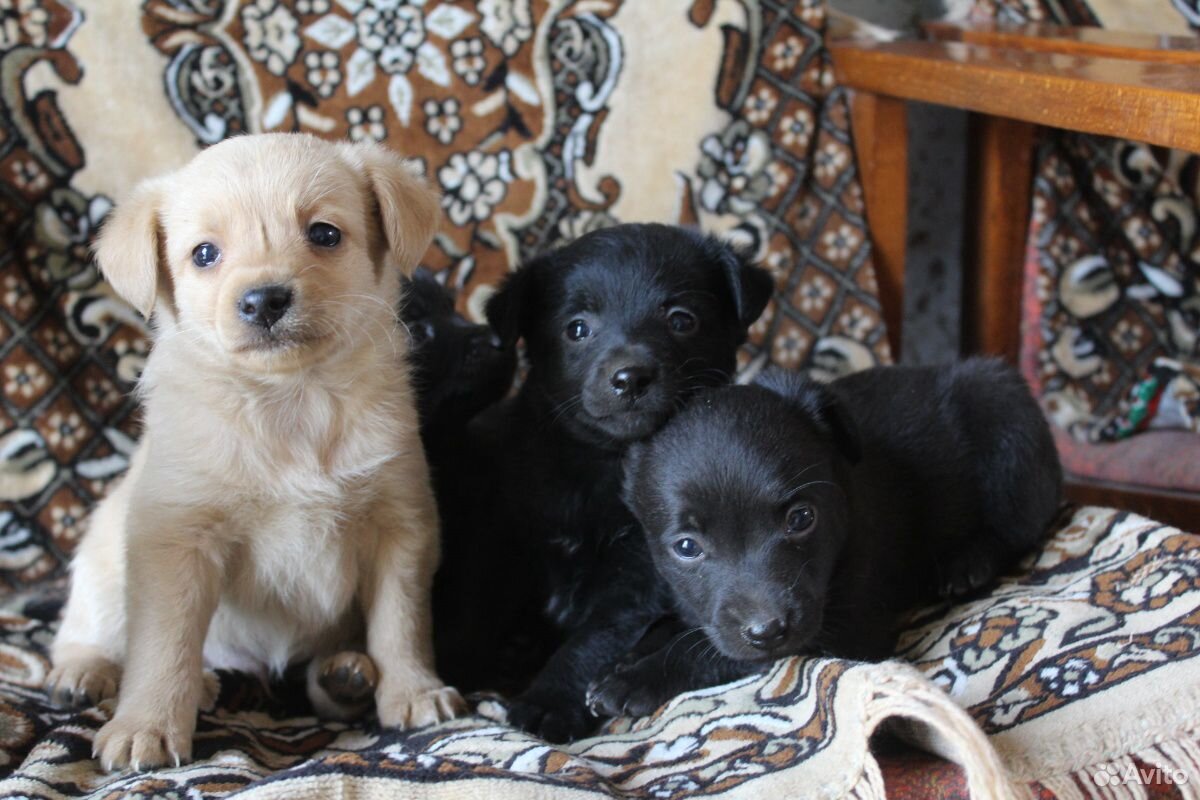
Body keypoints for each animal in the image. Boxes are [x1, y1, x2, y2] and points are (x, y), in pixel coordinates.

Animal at [43, 134, 463, 772]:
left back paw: (344, 674)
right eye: (204, 253)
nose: (264, 300)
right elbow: (164, 644)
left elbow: (401, 623)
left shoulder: (399, 525)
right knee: (90, 630)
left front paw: (413, 690)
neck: (291, 404)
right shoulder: (177, 539)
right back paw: (91, 674)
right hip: (104, 559)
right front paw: (146, 725)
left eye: (324, 234)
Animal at [436, 221, 772, 743]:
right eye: (577, 328)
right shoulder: (501, 540)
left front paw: (549, 702)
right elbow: (475, 609)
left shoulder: (639, 571)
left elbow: (592, 640)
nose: (630, 377)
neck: (599, 464)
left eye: (681, 320)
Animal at [590, 359, 1060, 714]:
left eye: (801, 519)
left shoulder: (846, 628)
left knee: (1020, 524)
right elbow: (682, 624)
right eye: (686, 547)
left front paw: (635, 680)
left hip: (1006, 424)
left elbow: (713, 651)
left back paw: (968, 564)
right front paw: (632, 654)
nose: (768, 631)